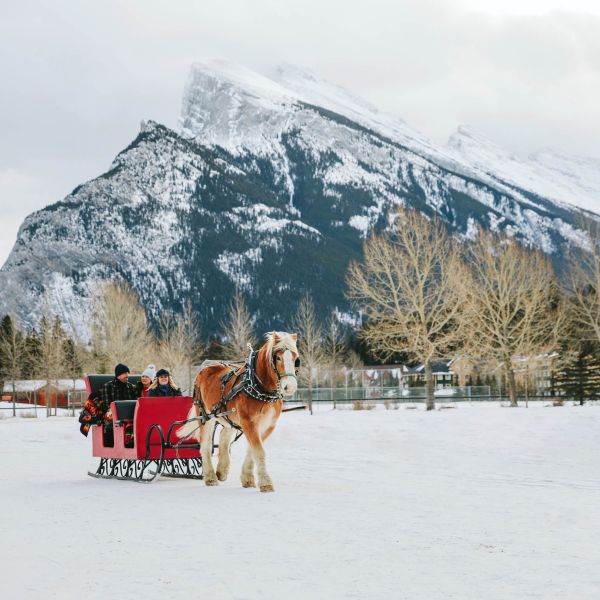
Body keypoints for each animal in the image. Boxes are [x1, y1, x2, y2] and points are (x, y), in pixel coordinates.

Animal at [177, 332, 300, 492]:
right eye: (278, 357)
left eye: (295, 358)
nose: (289, 387)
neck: (259, 387)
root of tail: (205, 368)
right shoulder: (248, 422)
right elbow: (259, 451)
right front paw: (266, 483)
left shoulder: (267, 425)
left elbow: (252, 450)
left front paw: (247, 478)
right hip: (205, 415)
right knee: (205, 444)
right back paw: (210, 477)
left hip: (227, 415)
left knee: (224, 435)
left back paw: (222, 470)